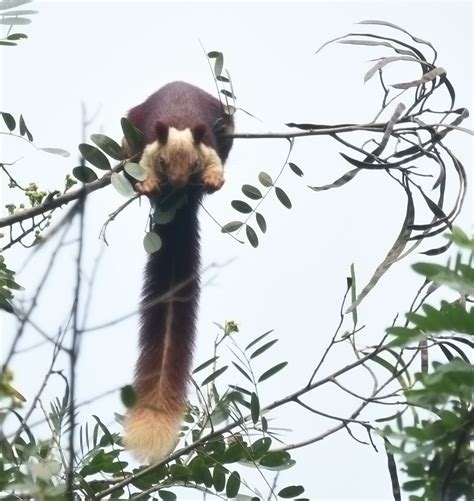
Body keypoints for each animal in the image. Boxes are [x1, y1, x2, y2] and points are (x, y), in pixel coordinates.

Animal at [122, 81, 233, 460]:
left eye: (194, 163)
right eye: (164, 162)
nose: (181, 183)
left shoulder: (210, 146)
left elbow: (217, 165)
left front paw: (212, 180)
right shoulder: (146, 151)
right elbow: (142, 166)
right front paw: (147, 185)